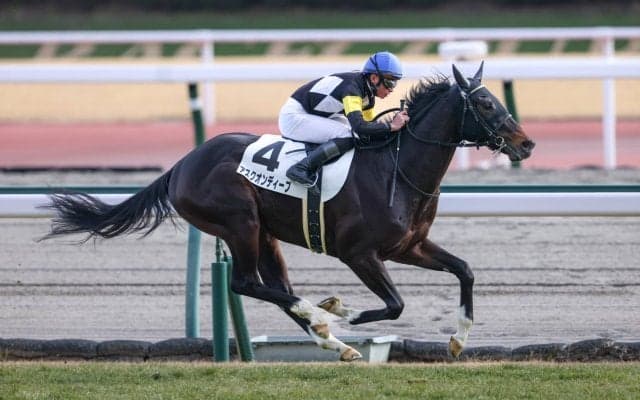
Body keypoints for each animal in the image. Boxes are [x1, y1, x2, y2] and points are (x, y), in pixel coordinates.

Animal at [43, 62, 535, 361]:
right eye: (485, 103)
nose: (526, 143)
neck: (397, 168)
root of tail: (182, 164)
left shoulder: (409, 246)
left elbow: (465, 270)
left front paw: (458, 339)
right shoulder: (359, 254)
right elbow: (394, 305)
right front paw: (344, 312)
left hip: (265, 234)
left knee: (276, 289)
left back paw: (334, 341)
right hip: (240, 222)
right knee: (245, 283)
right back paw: (324, 318)